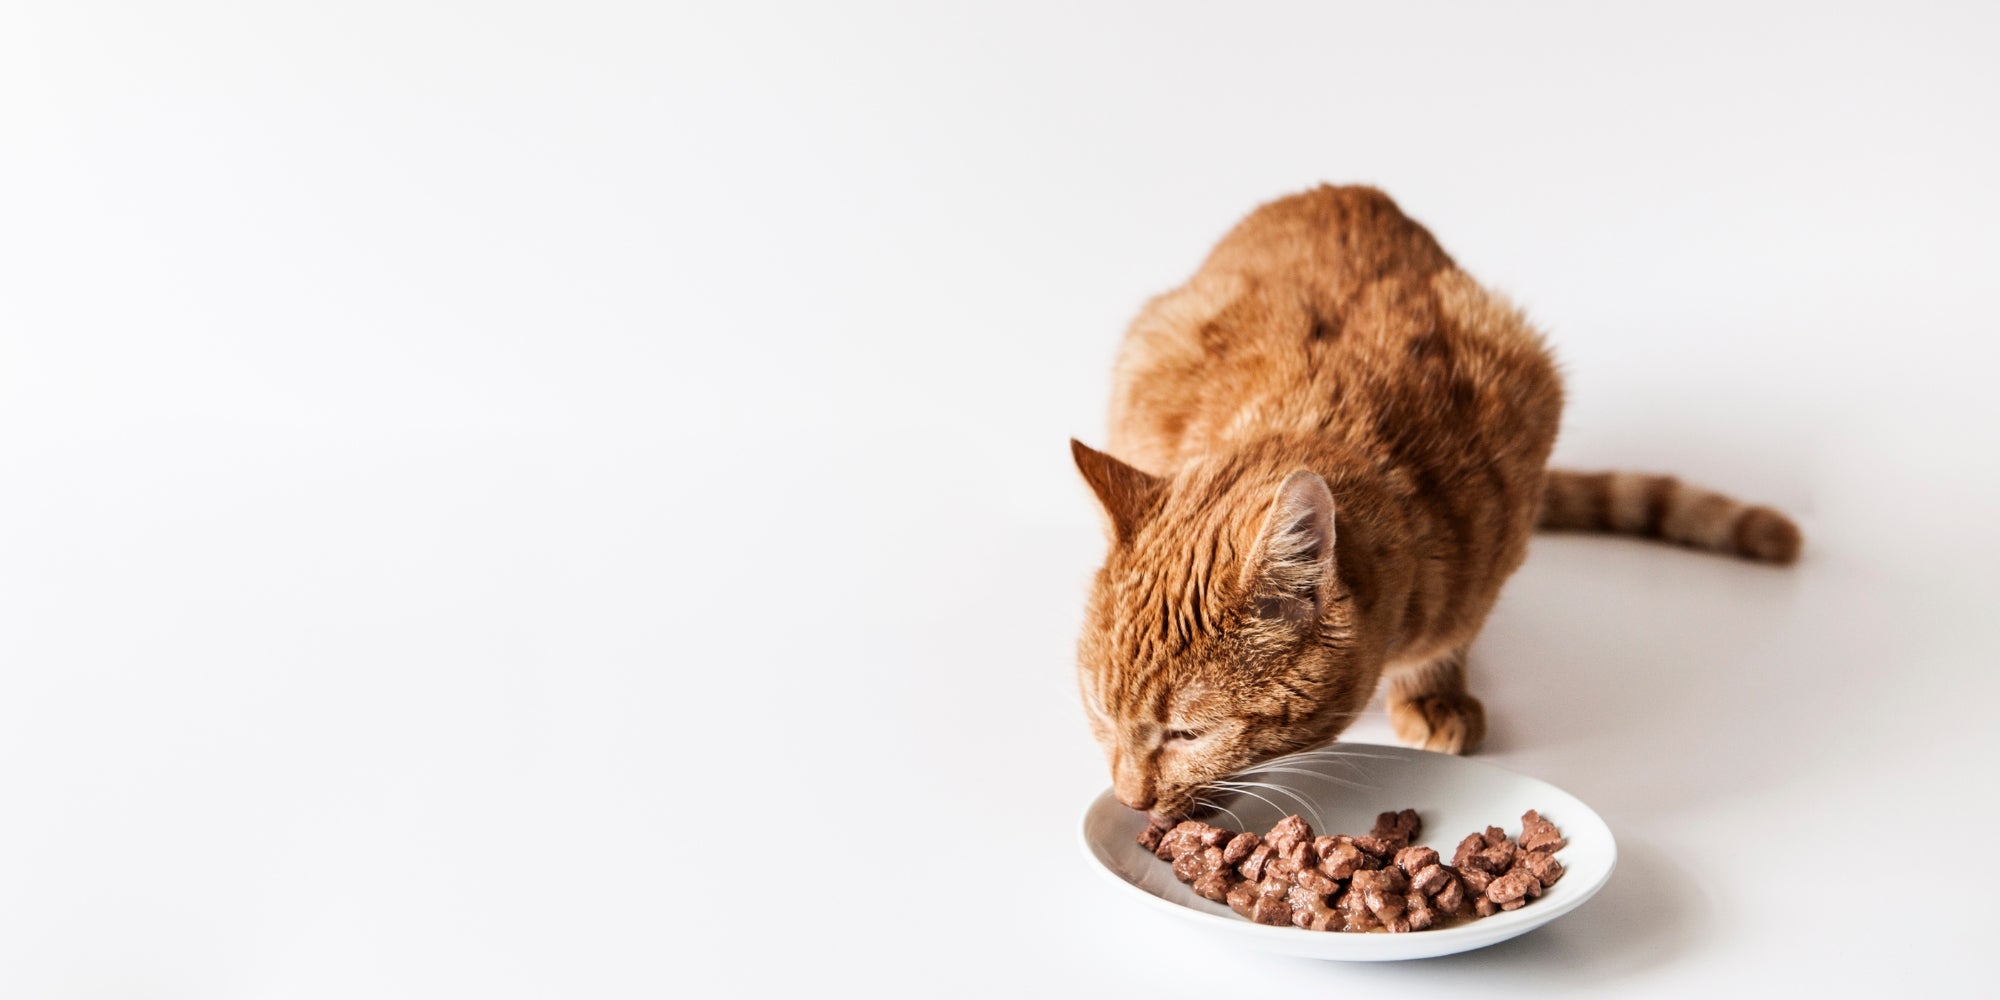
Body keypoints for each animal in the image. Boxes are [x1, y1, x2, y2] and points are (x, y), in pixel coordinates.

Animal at [1072, 184, 1808, 816]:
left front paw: (1433, 692)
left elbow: (1453, 636)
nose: (1129, 800)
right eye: (1104, 716)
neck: (1315, 409)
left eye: (1188, 734)